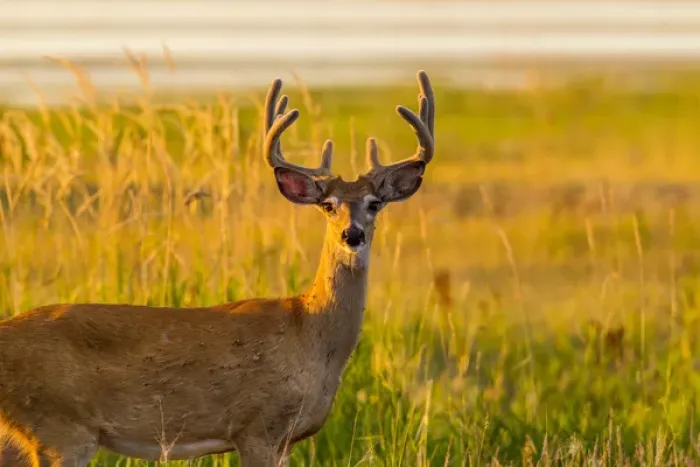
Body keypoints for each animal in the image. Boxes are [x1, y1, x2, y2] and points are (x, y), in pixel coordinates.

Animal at [0, 70, 436, 467]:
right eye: (328, 205)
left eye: (374, 203)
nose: (352, 234)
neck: (311, 333)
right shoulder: (258, 425)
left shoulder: (285, 440)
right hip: (60, 427)